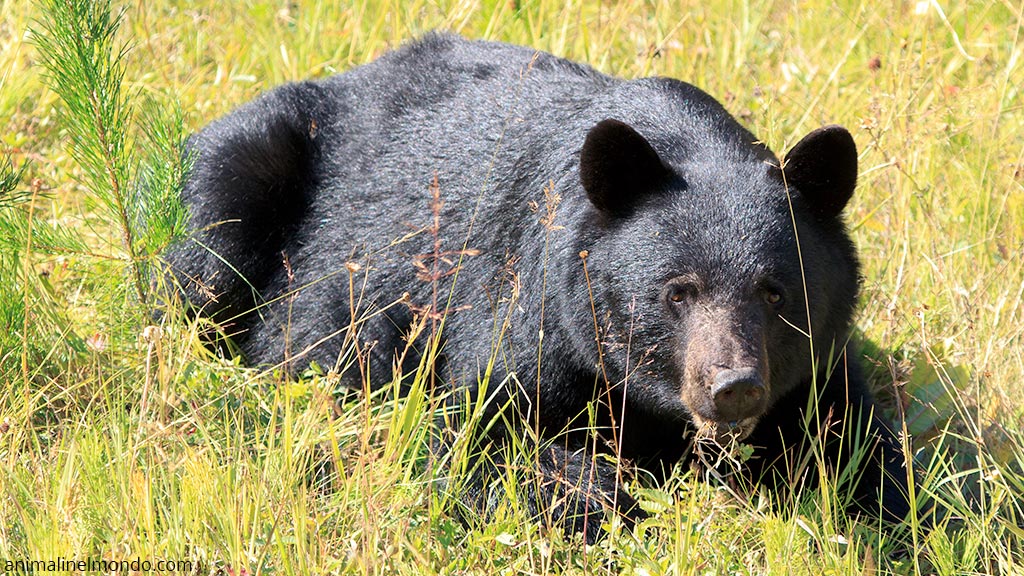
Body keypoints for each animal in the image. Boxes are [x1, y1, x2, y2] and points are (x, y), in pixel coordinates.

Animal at [166, 32, 912, 541]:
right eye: (677, 292)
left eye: (776, 292)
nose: (733, 386)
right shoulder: (528, 312)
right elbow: (470, 429)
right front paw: (598, 495)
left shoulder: (817, 372)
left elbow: (861, 449)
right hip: (242, 172)